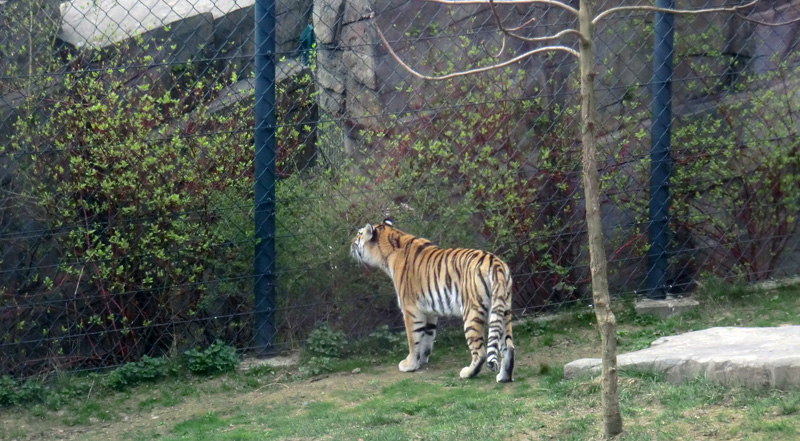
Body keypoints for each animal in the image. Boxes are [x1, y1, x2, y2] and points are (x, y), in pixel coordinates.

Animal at [352, 218, 516, 380]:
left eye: (359, 234)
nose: (351, 242)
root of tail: (496, 263)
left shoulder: (410, 310)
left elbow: (413, 339)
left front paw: (409, 365)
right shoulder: (429, 311)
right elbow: (427, 338)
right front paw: (421, 361)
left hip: (472, 312)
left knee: (480, 352)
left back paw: (467, 373)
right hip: (502, 309)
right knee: (508, 346)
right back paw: (504, 377)